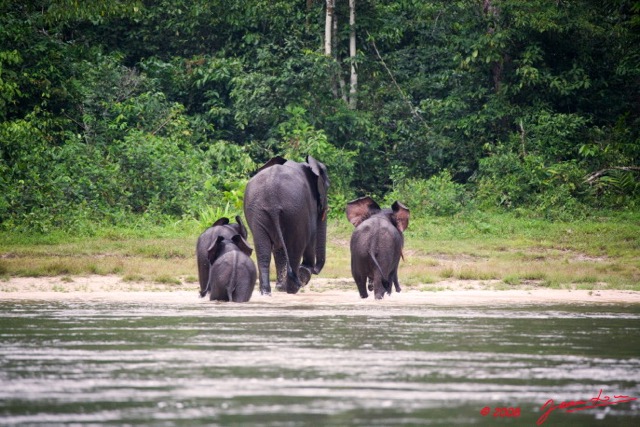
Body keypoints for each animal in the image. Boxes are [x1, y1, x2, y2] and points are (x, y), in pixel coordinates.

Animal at [241, 155, 328, 296]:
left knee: (263, 250)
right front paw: (304, 273)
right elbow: (311, 237)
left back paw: (266, 292)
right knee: (295, 247)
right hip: (295, 210)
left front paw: (280, 287)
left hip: (258, 211)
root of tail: (271, 195)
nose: (314, 270)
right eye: (327, 187)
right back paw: (292, 288)